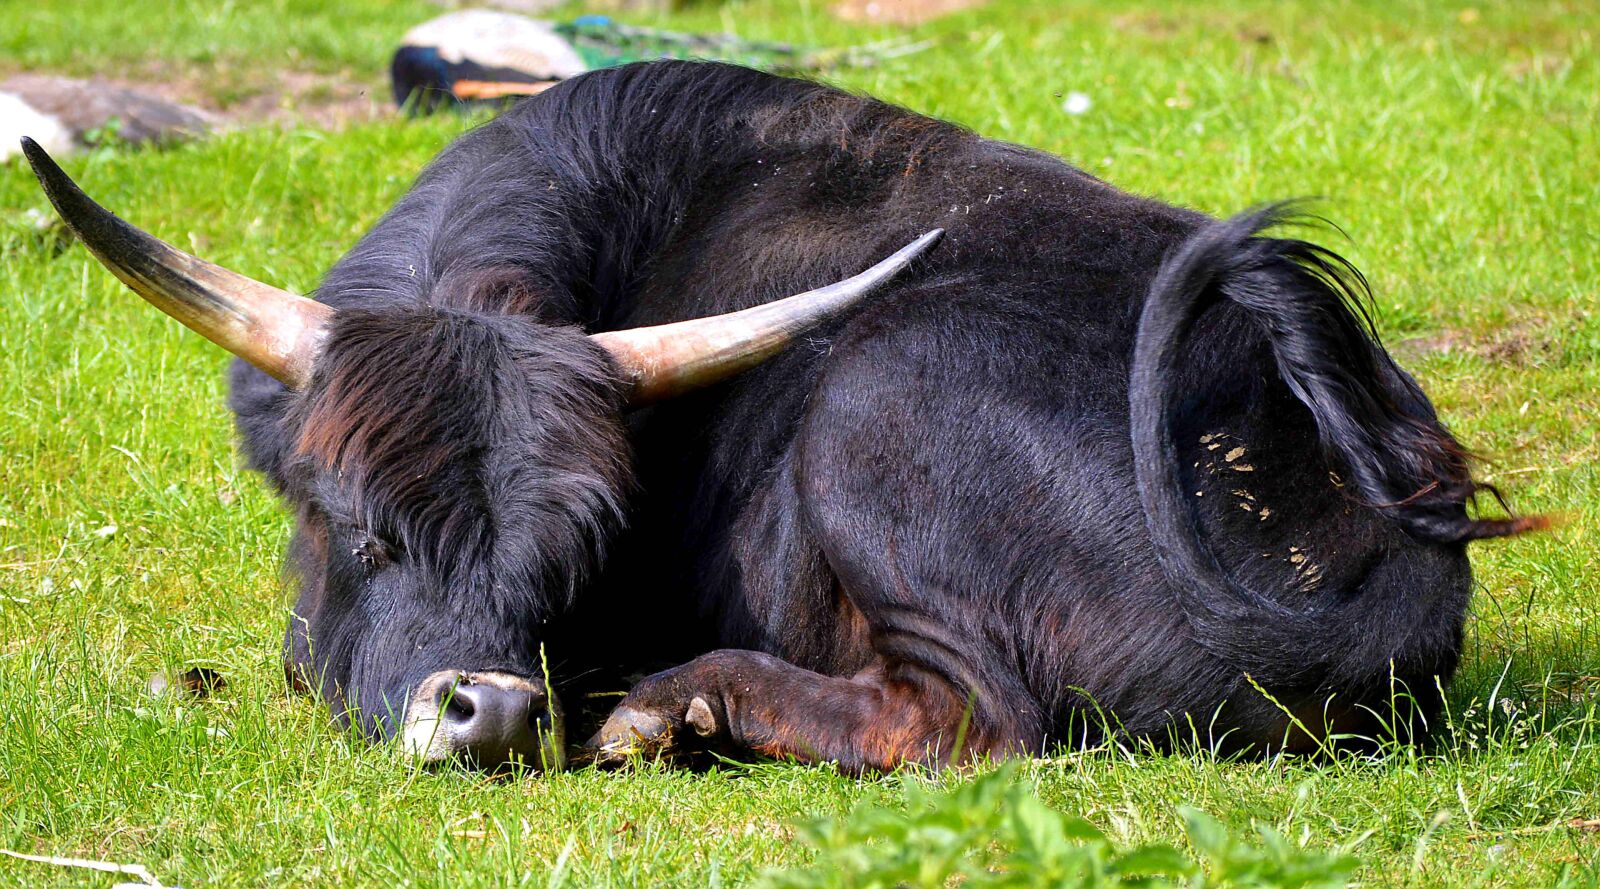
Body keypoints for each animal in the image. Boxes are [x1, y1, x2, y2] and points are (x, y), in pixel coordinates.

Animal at [23, 60, 1540, 773]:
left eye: (571, 560)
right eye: (363, 532)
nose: (491, 711)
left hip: (878, 411)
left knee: (961, 723)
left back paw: (675, 707)